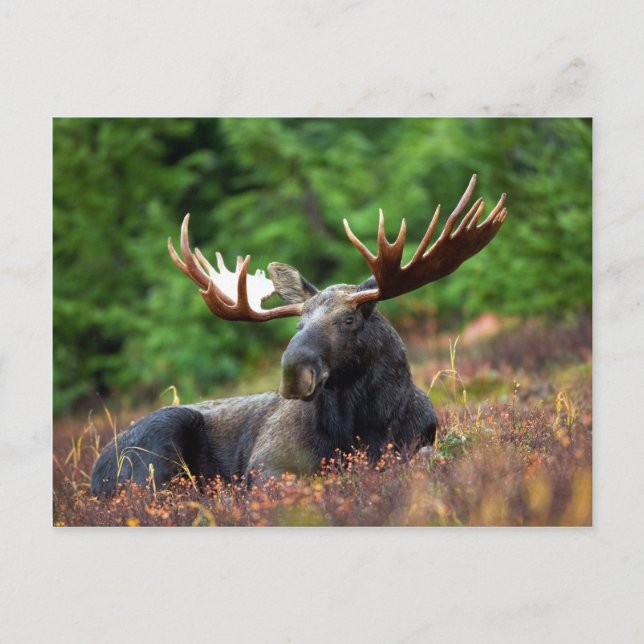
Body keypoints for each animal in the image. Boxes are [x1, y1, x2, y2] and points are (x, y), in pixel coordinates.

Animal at [91, 175, 507, 495]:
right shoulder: (266, 463)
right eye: (298, 325)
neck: (365, 425)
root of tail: (95, 473)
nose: (293, 372)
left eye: (348, 320)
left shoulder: (420, 441)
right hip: (158, 444)